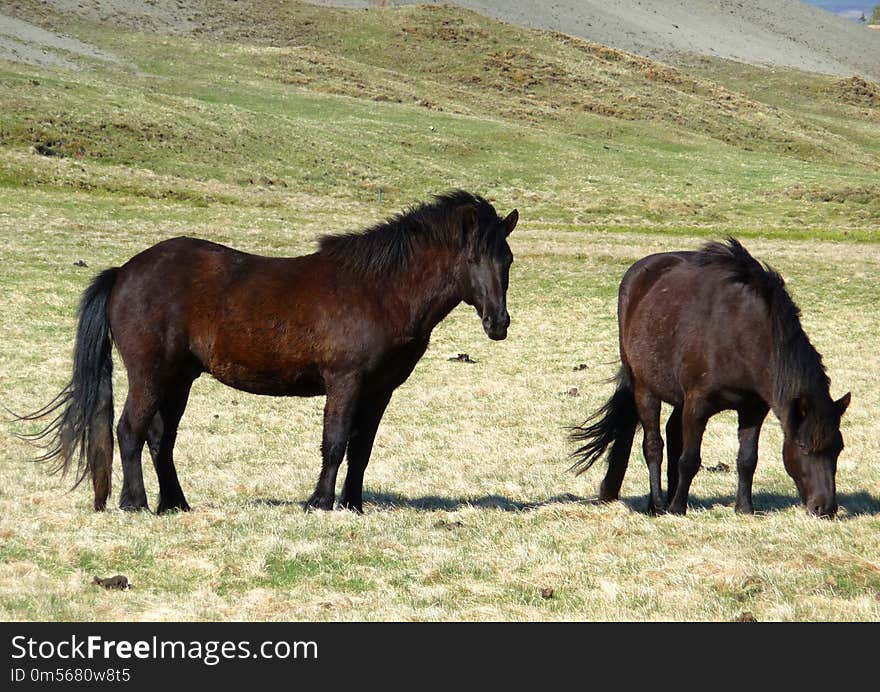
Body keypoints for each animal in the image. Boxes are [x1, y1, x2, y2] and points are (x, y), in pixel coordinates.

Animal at [20, 189, 520, 512]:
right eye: (474, 258)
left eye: (508, 259)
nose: (498, 323)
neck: (381, 290)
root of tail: (124, 271)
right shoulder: (346, 381)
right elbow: (336, 442)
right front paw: (320, 502)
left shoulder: (380, 391)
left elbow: (362, 449)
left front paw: (353, 505)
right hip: (151, 373)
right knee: (130, 431)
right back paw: (135, 503)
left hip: (179, 378)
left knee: (162, 438)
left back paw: (175, 503)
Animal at [576, 238, 848, 512]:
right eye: (803, 446)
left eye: (838, 448)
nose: (826, 508)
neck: (744, 335)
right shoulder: (697, 404)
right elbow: (689, 459)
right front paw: (677, 508)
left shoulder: (753, 409)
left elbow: (747, 459)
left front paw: (744, 508)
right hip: (645, 388)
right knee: (653, 445)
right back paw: (659, 505)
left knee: (673, 434)